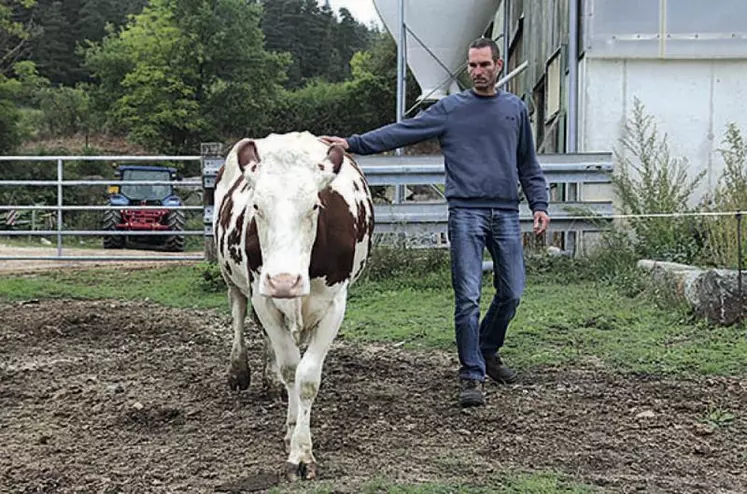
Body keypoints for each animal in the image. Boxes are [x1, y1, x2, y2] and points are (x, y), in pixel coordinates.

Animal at [212, 132, 374, 482]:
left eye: (314, 205)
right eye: (256, 205)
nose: (283, 281)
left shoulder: (335, 304)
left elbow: (307, 377)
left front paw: (301, 452)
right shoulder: (263, 297)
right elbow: (290, 369)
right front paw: (293, 438)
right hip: (232, 277)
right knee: (238, 311)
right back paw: (239, 369)